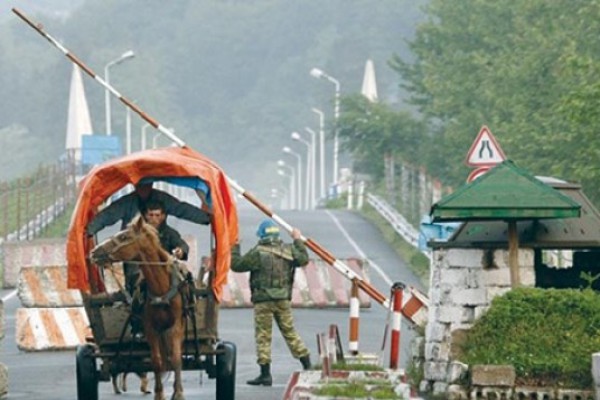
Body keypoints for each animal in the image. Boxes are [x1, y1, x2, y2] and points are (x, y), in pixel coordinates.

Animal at [91, 216, 188, 400]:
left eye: (124, 237)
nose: (94, 252)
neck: (161, 290)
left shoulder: (176, 326)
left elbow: (176, 358)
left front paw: (178, 393)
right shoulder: (150, 328)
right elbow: (156, 361)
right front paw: (159, 393)